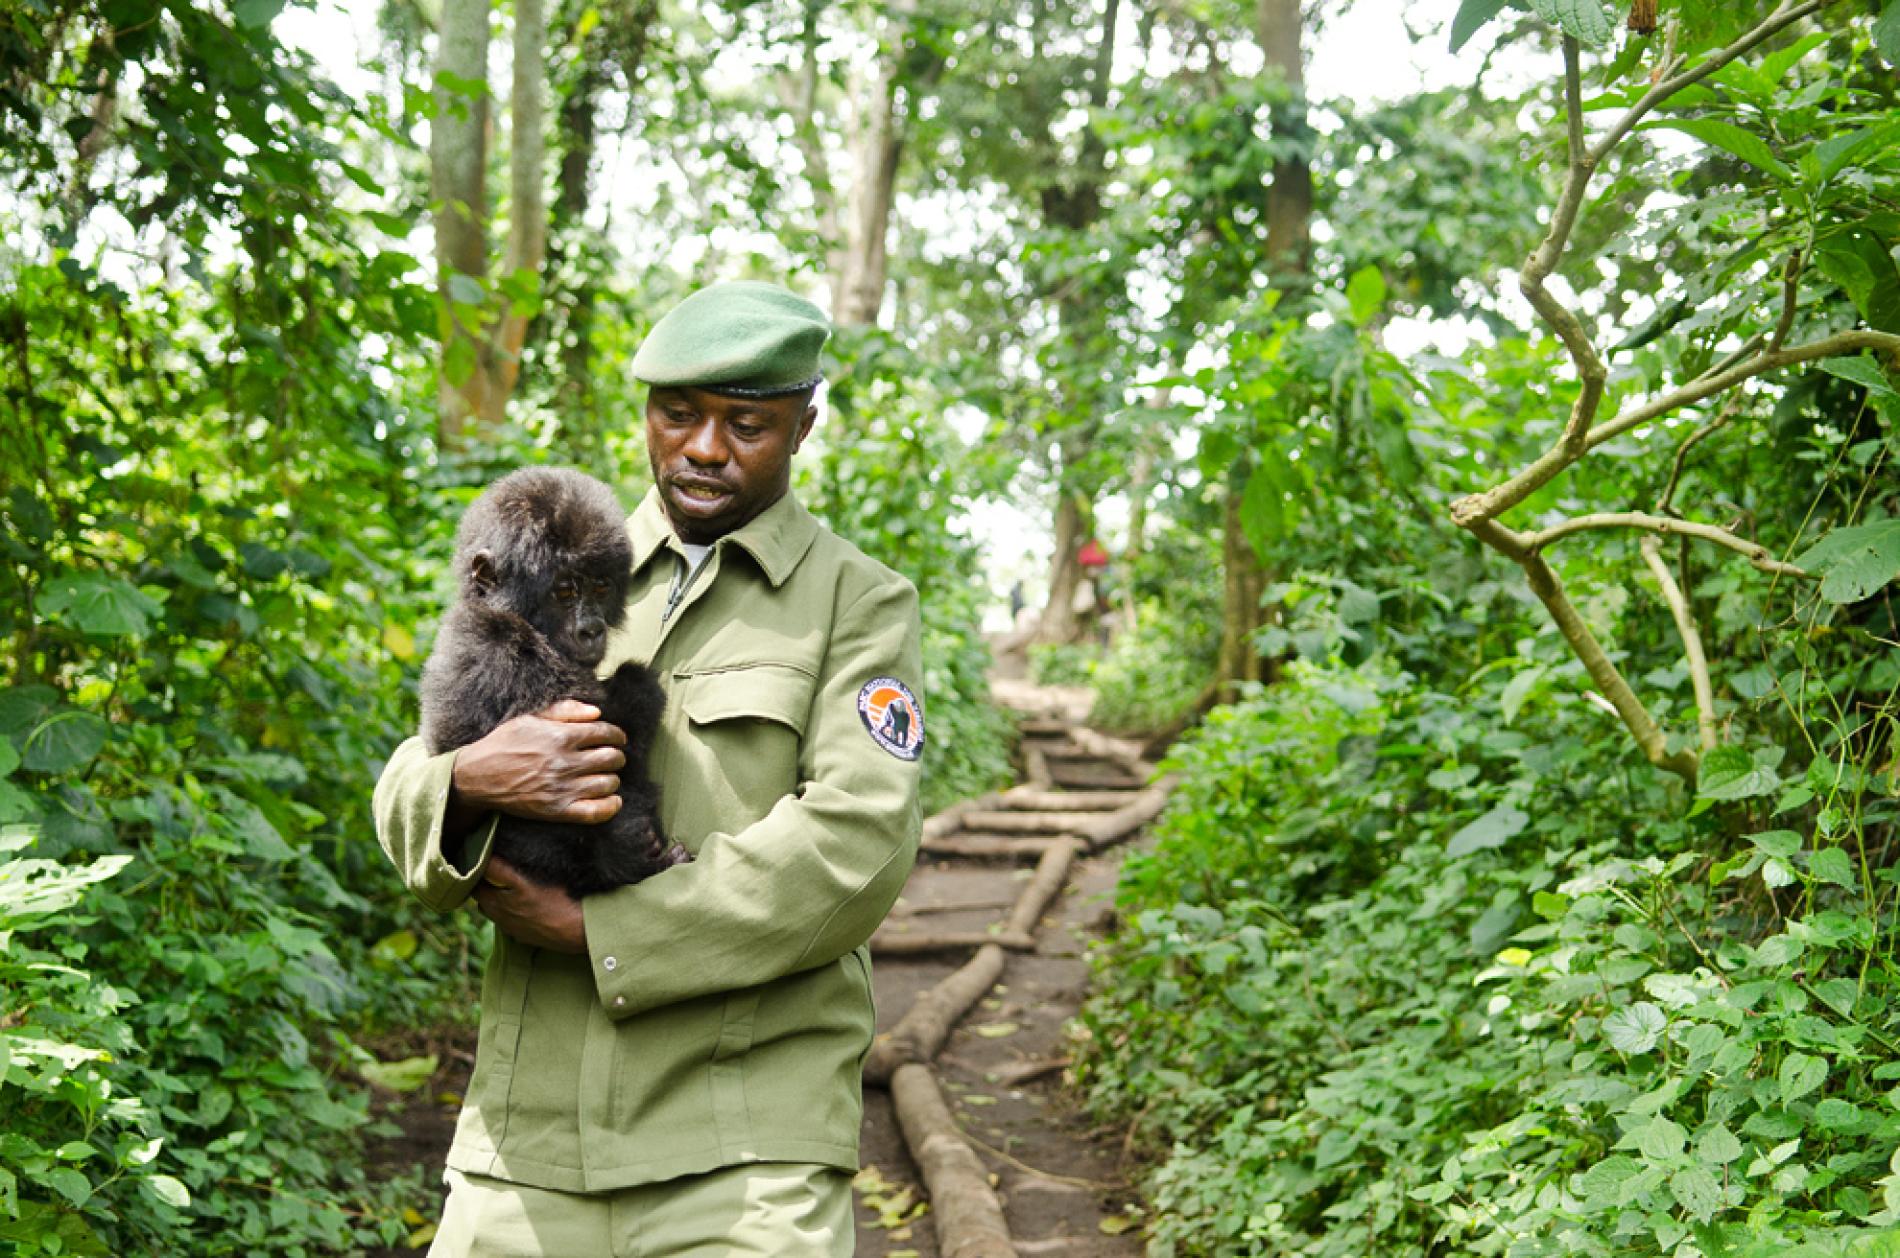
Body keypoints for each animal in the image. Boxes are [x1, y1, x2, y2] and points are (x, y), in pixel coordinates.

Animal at [419, 471, 687, 896]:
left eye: (600, 586)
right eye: (564, 591)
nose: (591, 629)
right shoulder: (504, 653)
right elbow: (617, 728)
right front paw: (637, 682)